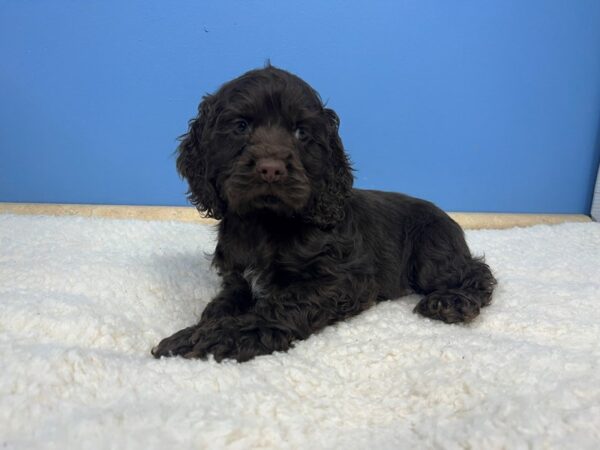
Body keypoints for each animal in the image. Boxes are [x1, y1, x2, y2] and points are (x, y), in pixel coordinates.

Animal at [151, 65, 496, 362]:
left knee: (475, 271)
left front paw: (213, 338)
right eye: (241, 126)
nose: (271, 169)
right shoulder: (236, 275)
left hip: (431, 253)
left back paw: (450, 302)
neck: (266, 221)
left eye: (301, 132)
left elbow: (279, 306)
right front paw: (205, 324)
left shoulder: (342, 279)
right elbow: (225, 301)